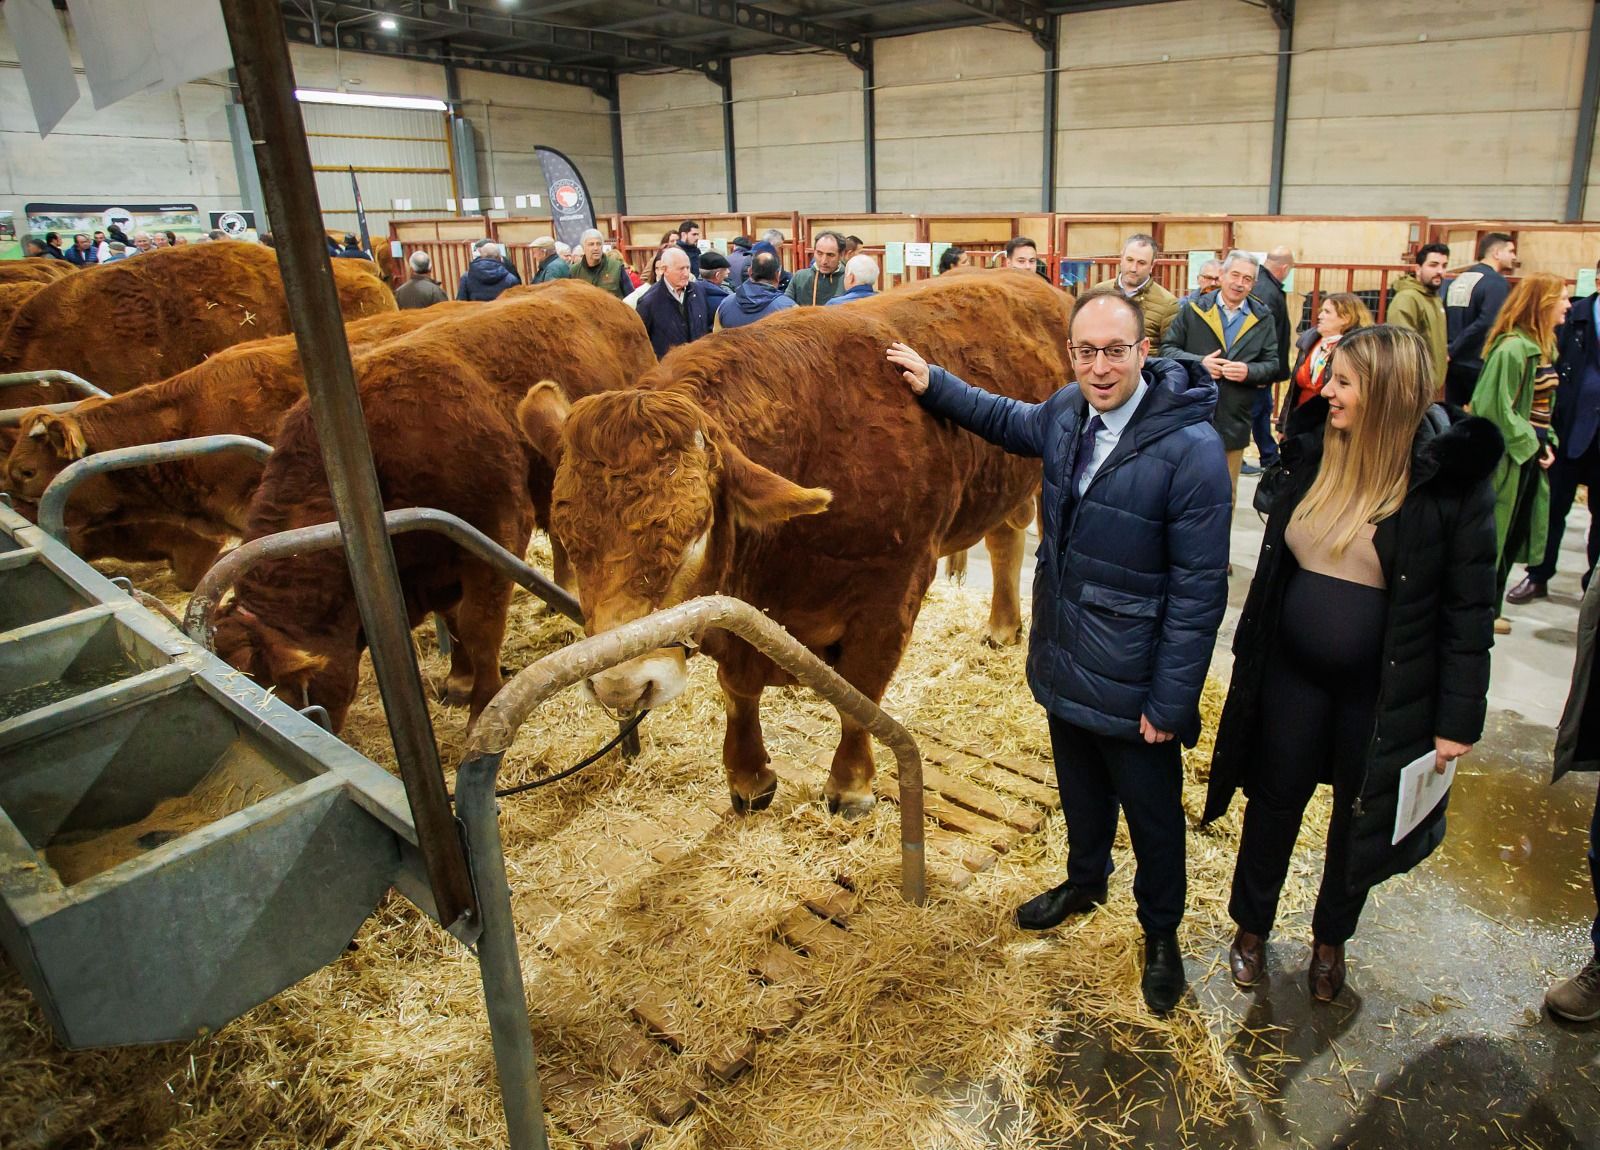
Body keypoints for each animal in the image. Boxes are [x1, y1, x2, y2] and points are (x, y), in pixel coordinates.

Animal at [208, 281, 656, 729]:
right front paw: (459, 680)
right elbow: (453, 619)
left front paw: (481, 706)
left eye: (279, 693)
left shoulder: (496, 535)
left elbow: (479, 626)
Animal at [521, 273, 1075, 815]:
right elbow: (738, 691)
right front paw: (749, 777)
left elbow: (862, 690)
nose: (622, 684)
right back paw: (1002, 625)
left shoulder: (895, 589)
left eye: (696, 530)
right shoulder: (740, 615)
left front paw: (850, 785)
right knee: (1005, 537)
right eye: (568, 537)